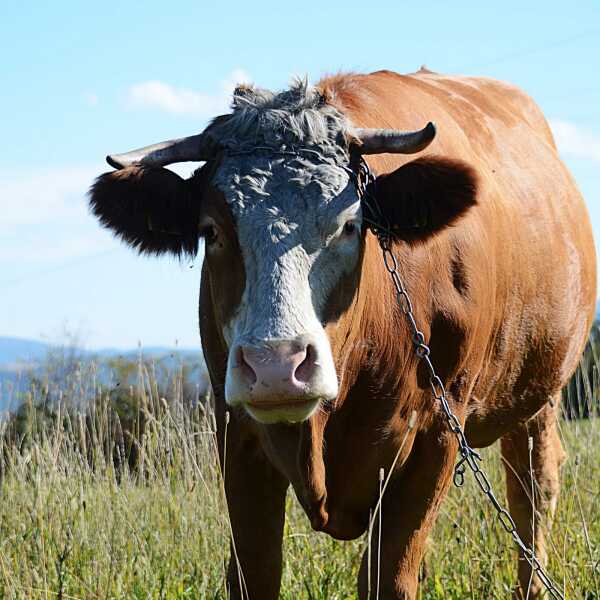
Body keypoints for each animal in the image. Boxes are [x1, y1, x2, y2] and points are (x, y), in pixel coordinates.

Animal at [89, 68, 596, 596]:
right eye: (212, 231)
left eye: (350, 225)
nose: (277, 365)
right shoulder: (236, 432)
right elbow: (254, 573)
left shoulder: (437, 430)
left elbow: (388, 577)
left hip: (540, 394)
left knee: (533, 487)